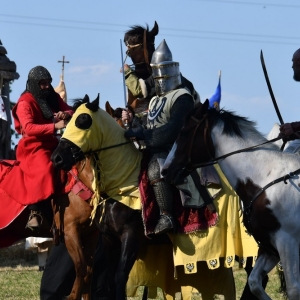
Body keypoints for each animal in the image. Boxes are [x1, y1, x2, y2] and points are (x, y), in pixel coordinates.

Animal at [50, 93, 262, 298]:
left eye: (83, 120)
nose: (57, 158)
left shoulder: (131, 236)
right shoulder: (109, 239)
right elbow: (109, 278)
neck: (122, 183)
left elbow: (119, 277)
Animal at [164, 99, 300, 298]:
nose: (165, 170)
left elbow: (293, 290)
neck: (264, 179)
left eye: (184, 132)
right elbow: (254, 282)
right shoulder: (270, 247)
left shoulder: (287, 242)